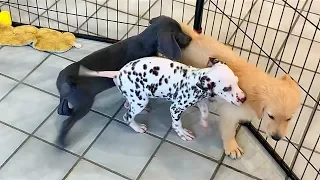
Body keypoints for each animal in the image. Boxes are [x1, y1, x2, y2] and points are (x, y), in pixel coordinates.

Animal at [79, 56, 246, 141]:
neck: (196, 79)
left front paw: (204, 122)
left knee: (128, 104)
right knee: (127, 117)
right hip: (139, 101)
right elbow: (177, 123)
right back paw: (137, 127)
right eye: (227, 88)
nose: (244, 98)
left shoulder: (201, 101)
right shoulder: (176, 108)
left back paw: (130, 105)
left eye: (237, 82)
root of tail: (117, 73)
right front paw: (182, 133)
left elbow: (204, 112)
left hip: (136, 97)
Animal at [178, 22, 300, 159]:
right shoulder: (229, 113)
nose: (276, 138)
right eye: (271, 116)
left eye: (289, 119)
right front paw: (232, 147)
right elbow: (229, 131)